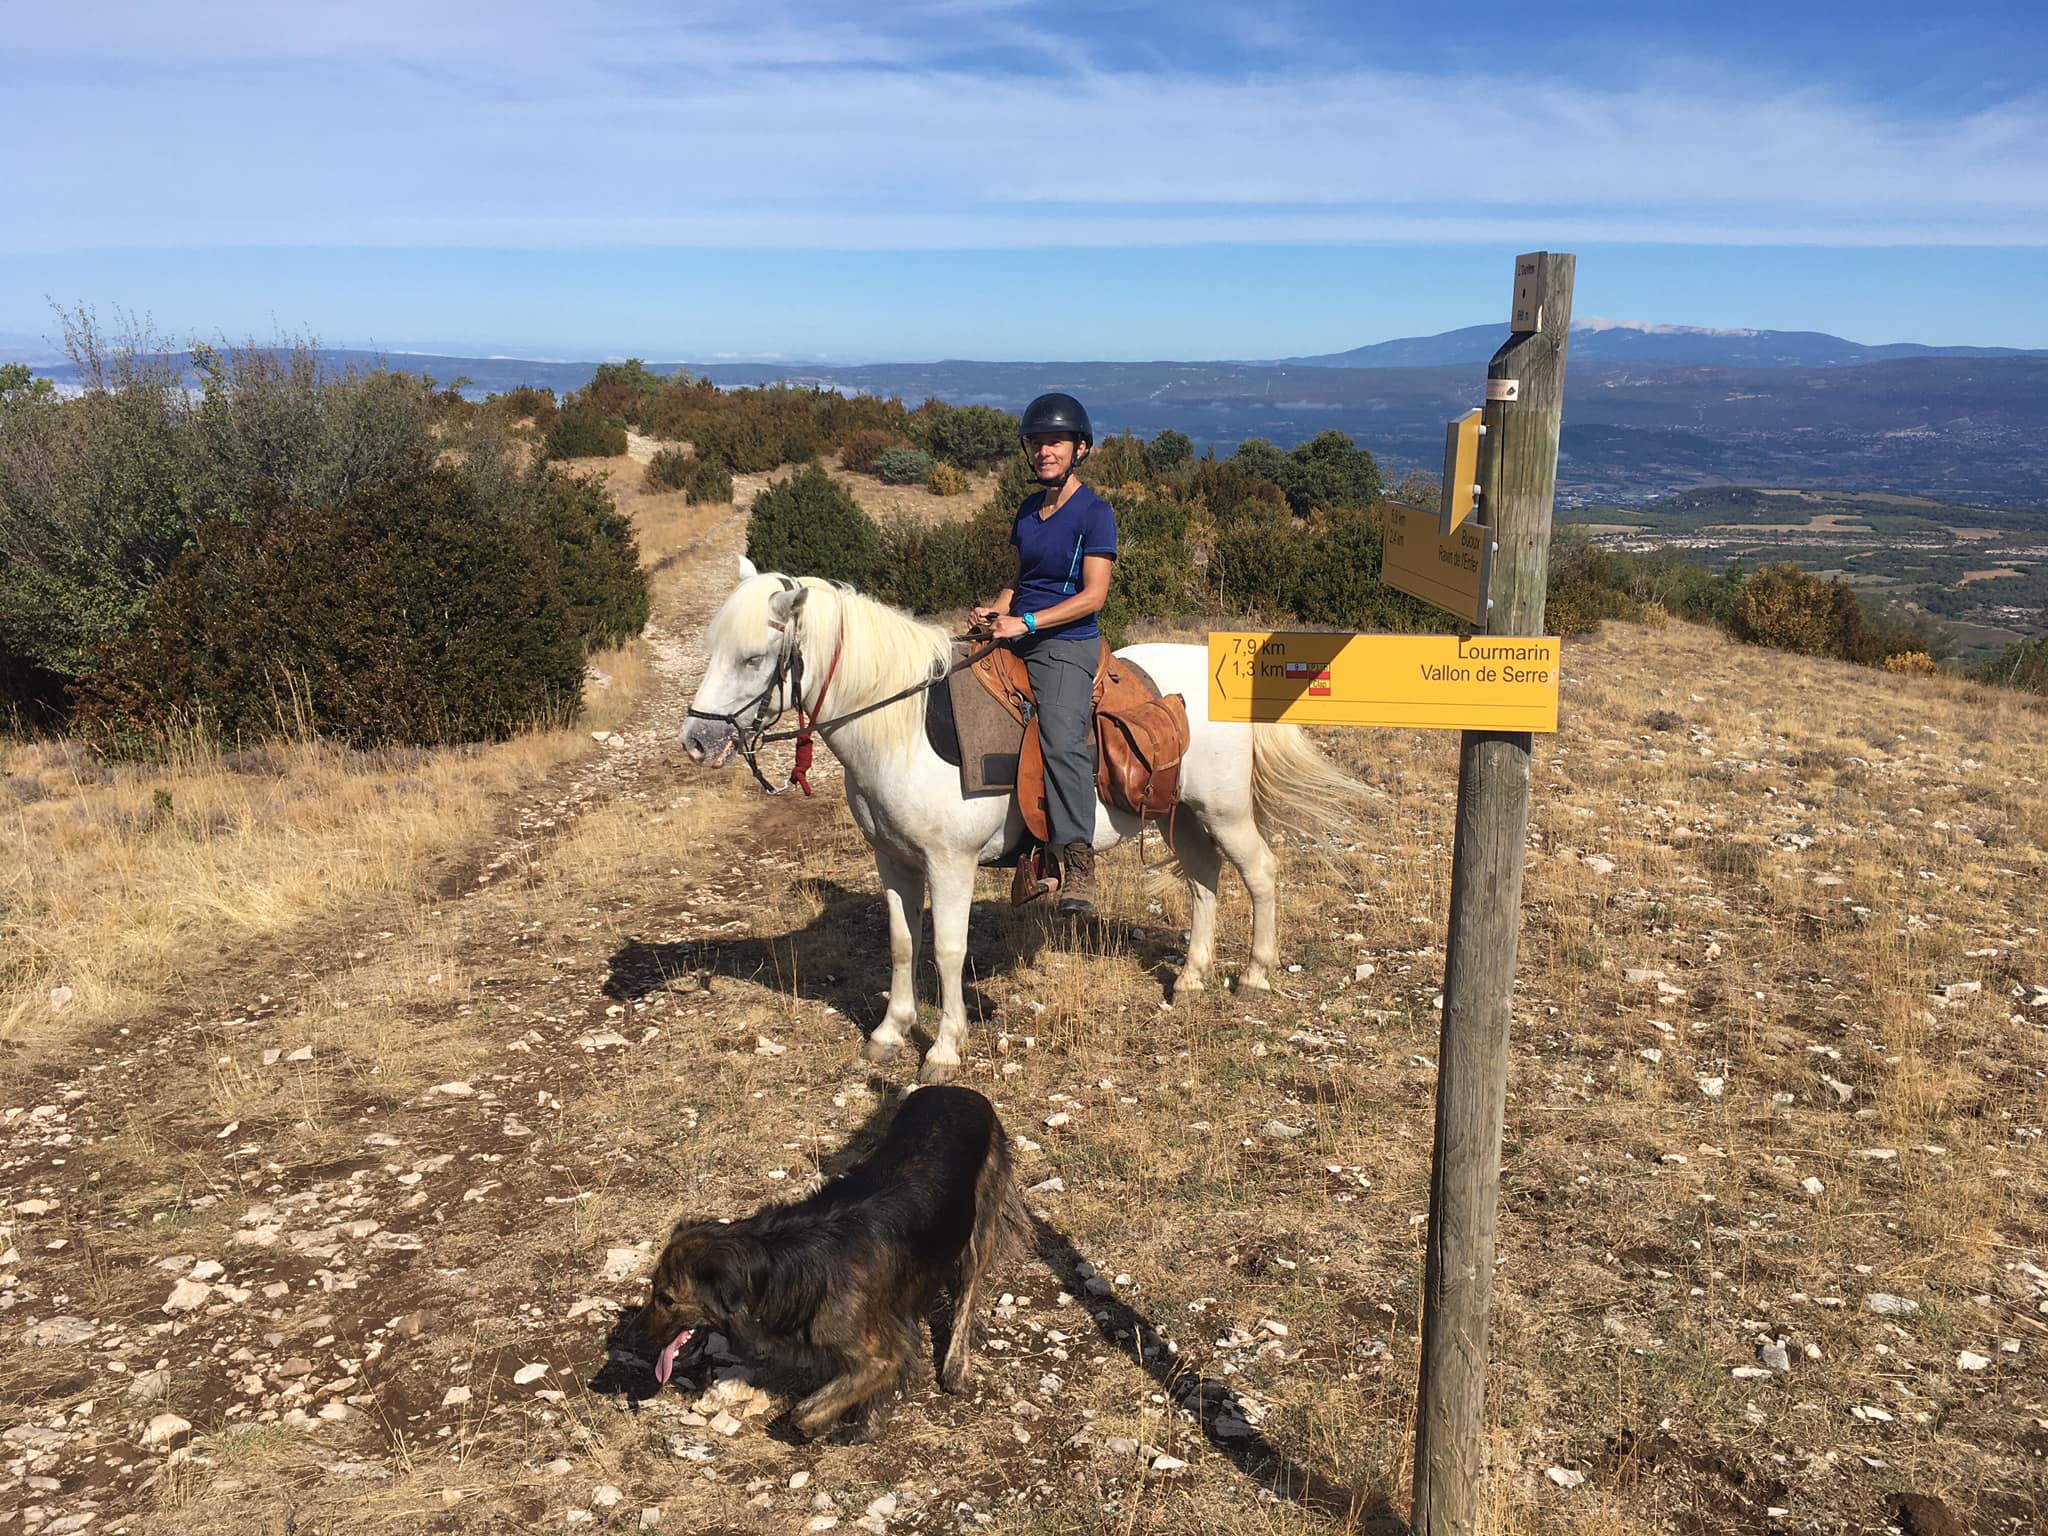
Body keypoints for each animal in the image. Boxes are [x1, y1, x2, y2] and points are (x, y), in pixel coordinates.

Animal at [680, 559, 1360, 1084]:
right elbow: (903, 941)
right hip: (1182, 815)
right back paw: (1192, 978)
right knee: (1203, 883)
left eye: (753, 658)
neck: (904, 726)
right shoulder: (893, 859)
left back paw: (1255, 975)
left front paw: (944, 1048)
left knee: (1260, 874)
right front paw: (890, 1032)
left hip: (1223, 811)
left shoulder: (949, 864)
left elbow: (948, 949)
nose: (696, 741)